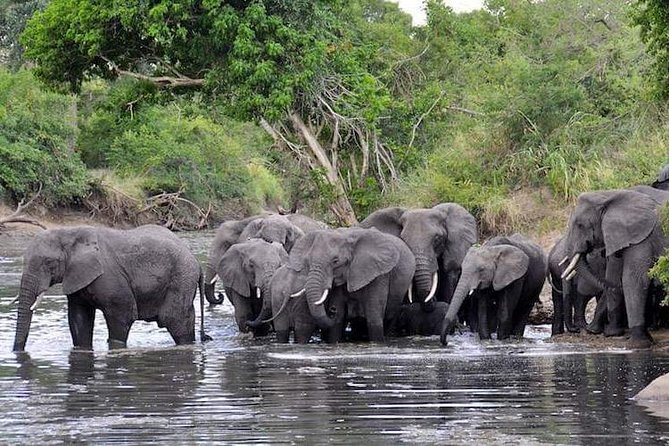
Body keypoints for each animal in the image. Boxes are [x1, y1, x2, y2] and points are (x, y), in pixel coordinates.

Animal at [13, 225, 209, 352]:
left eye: (49, 263)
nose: (17, 351)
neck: (69, 232)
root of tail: (197, 263)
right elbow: (79, 319)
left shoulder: (110, 279)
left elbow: (121, 318)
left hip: (181, 279)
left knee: (175, 321)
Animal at [285, 227, 416, 342]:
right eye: (308, 261)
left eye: (335, 261)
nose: (332, 310)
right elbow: (337, 322)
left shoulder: (379, 274)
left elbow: (374, 319)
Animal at [561, 188, 669, 348]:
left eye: (580, 225)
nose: (578, 330)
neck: (610, 196)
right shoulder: (620, 237)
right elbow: (614, 277)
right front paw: (612, 334)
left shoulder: (642, 239)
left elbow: (634, 279)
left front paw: (638, 344)